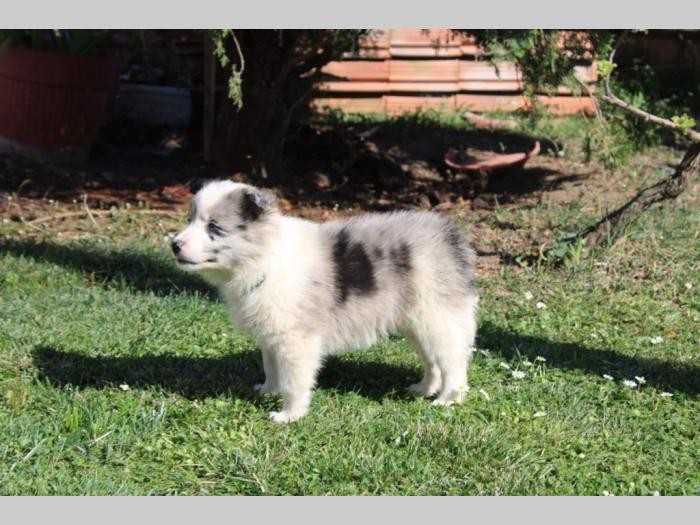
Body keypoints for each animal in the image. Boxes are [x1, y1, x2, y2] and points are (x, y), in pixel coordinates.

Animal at [173, 180, 478, 423]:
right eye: (190, 220)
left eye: (214, 227)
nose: (174, 244)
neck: (265, 256)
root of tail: (450, 236)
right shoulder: (271, 336)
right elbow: (271, 367)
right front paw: (268, 390)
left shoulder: (296, 341)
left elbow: (293, 382)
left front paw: (288, 415)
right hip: (416, 323)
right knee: (433, 361)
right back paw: (424, 389)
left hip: (437, 318)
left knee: (453, 362)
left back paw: (447, 399)